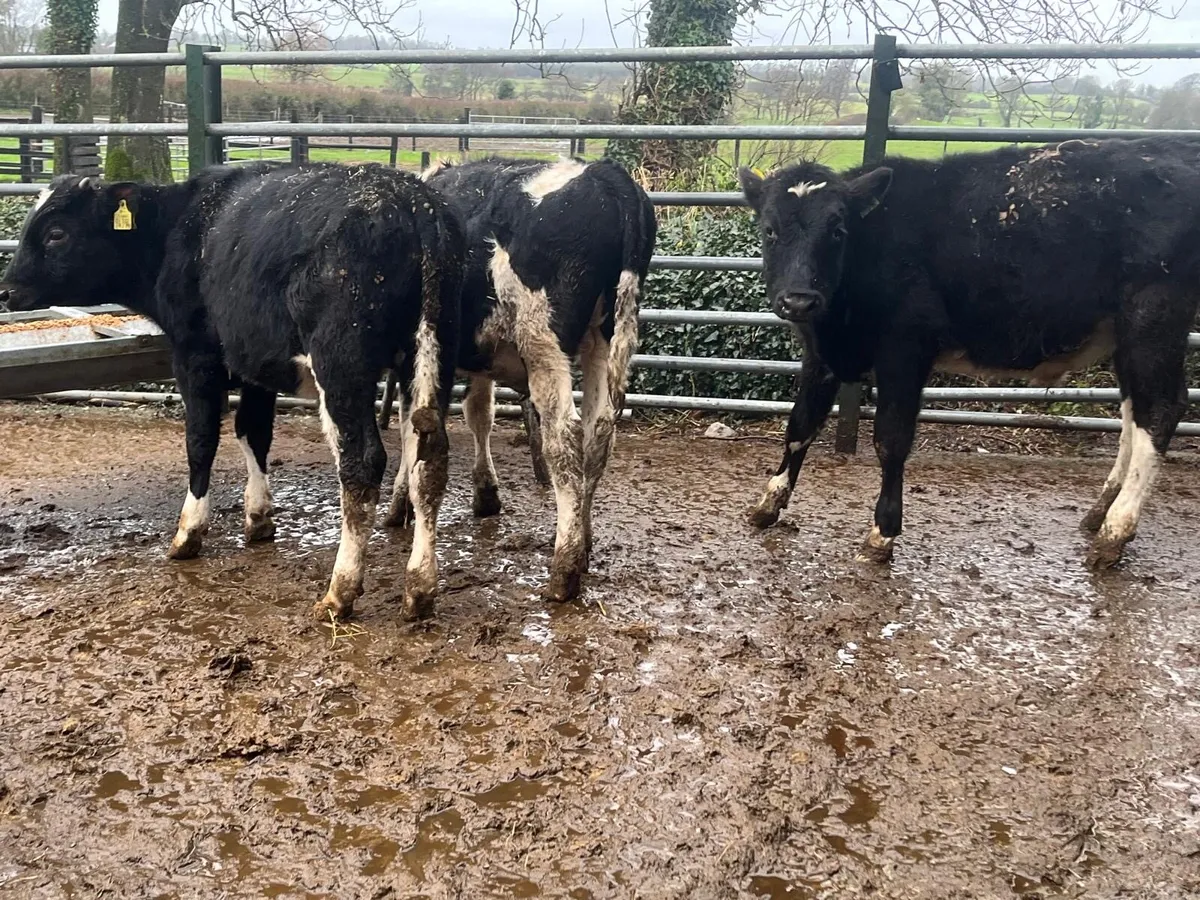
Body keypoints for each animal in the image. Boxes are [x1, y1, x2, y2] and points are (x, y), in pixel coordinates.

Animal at [0, 163, 464, 621]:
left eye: (56, 233)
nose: (7, 290)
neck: (178, 225)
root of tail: (409, 197)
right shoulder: (257, 364)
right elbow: (253, 432)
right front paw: (258, 518)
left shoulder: (195, 355)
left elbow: (201, 440)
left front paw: (188, 533)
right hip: (428, 358)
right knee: (429, 462)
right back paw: (419, 589)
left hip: (341, 364)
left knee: (362, 464)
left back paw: (340, 591)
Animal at [389, 156, 656, 603]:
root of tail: (605, 175)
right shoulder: (480, 358)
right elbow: (479, 414)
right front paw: (485, 494)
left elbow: (413, 437)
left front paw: (398, 505)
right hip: (601, 339)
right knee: (598, 432)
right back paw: (583, 540)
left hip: (542, 340)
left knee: (564, 437)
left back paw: (564, 568)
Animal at [738, 137, 1200, 569]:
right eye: (770, 230)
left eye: (837, 231)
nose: (799, 300)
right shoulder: (820, 355)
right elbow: (800, 425)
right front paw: (768, 503)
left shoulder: (905, 351)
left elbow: (891, 440)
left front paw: (882, 533)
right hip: (1125, 333)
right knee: (1133, 412)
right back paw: (1100, 509)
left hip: (1153, 317)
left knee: (1161, 409)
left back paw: (1115, 531)